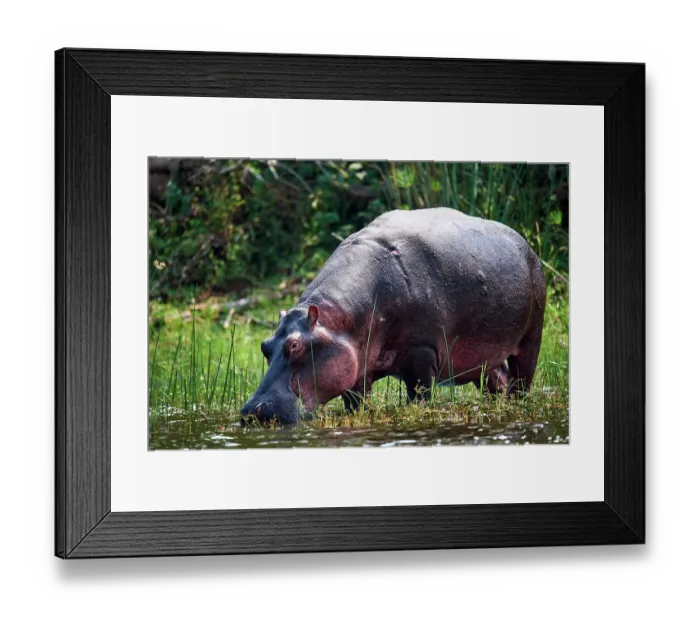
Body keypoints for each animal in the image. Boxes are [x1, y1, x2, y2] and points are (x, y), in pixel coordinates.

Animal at [241, 207, 546, 425]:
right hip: (484, 357)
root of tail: (526, 245)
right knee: (497, 380)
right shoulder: (357, 368)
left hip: (531, 337)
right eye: (264, 346)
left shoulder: (422, 352)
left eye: (295, 345)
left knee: (522, 379)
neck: (337, 320)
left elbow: (420, 397)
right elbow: (356, 405)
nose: (252, 411)